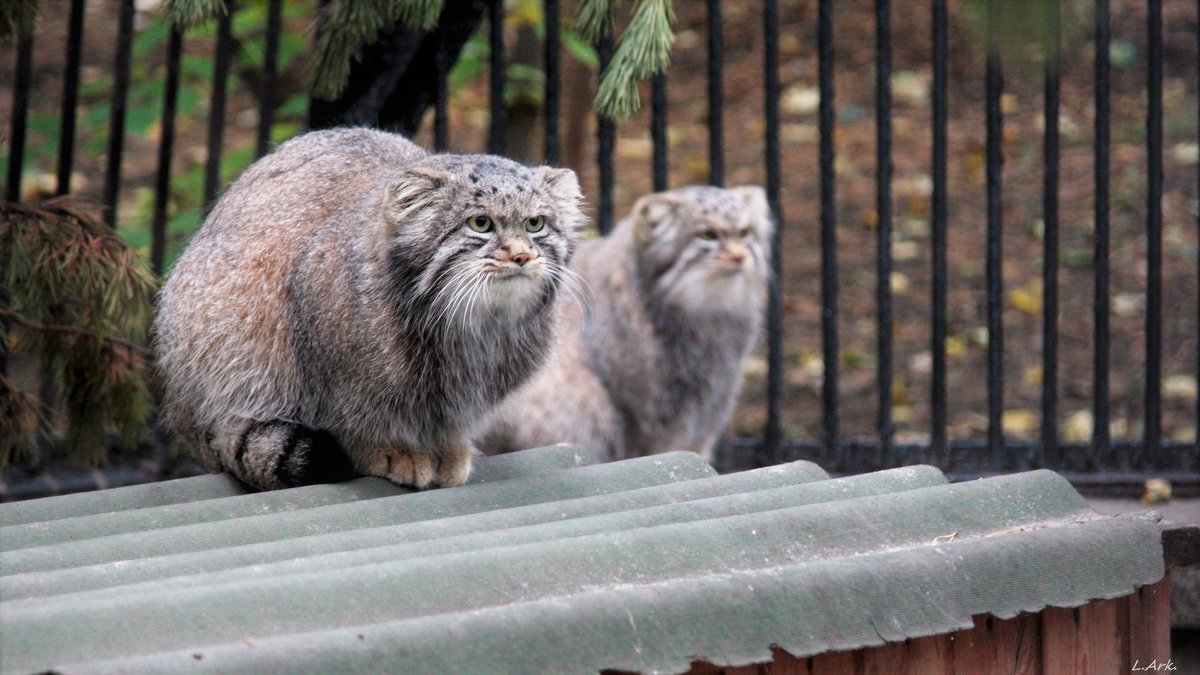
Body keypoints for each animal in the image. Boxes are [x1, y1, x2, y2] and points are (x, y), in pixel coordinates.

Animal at [154, 127, 585, 487]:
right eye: (480, 223)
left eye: (535, 224)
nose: (523, 256)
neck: (473, 324)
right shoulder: (329, 366)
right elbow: (355, 418)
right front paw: (389, 450)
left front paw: (448, 448)